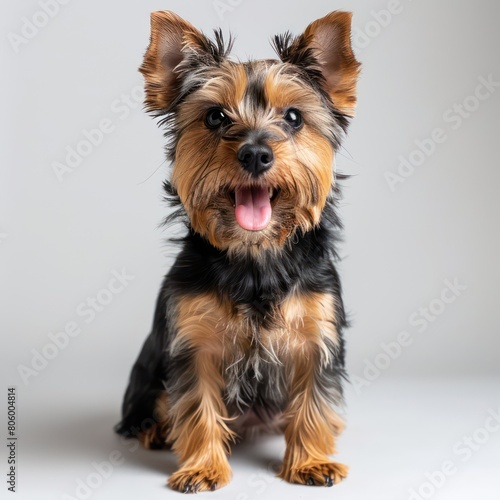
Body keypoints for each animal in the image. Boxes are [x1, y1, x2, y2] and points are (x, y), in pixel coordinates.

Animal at [117, 9, 360, 494]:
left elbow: (314, 398)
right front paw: (202, 467)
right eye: (214, 117)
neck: (255, 256)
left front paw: (311, 461)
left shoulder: (316, 332)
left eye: (293, 117)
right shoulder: (194, 339)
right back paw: (155, 430)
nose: (255, 153)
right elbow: (197, 405)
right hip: (145, 381)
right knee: (151, 407)